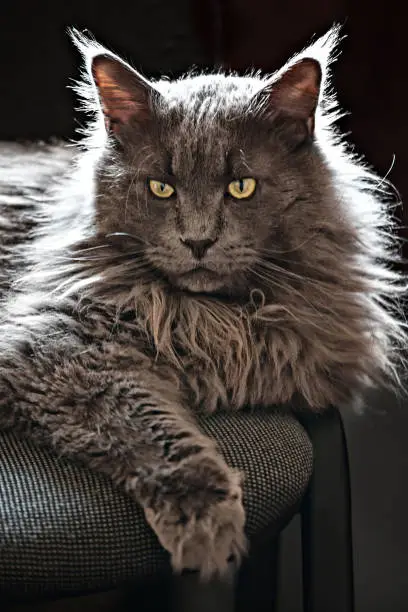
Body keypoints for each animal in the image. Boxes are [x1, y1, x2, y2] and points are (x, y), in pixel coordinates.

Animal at [0, 25, 404, 580]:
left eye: (241, 187)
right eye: (161, 187)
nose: (197, 241)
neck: (213, 315)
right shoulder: (57, 351)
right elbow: (147, 429)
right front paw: (206, 525)